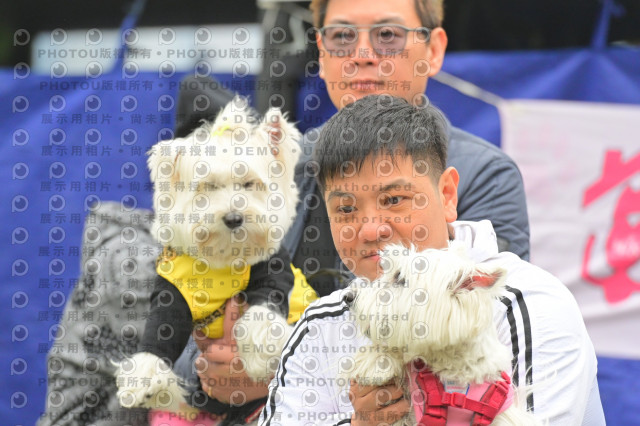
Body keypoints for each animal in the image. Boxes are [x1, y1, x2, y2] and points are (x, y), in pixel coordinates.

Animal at [115, 97, 316, 413]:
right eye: (207, 187)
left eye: (249, 184)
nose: (234, 218)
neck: (221, 261)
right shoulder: (172, 293)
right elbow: (161, 330)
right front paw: (145, 377)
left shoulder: (272, 270)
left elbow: (262, 310)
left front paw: (263, 350)